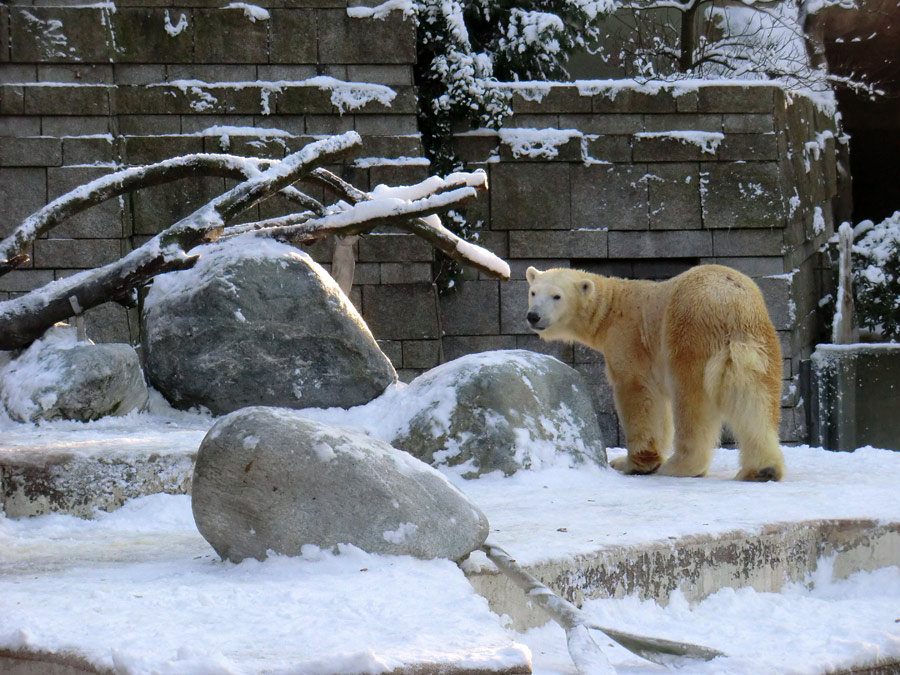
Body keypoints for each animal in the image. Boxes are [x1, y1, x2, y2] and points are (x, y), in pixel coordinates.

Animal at [524, 264, 784, 480]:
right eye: (533, 292)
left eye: (557, 296)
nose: (533, 316)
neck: (611, 307)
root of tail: (730, 303)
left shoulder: (630, 340)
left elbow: (637, 394)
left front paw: (633, 463)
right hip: (758, 343)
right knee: (756, 400)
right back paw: (763, 469)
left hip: (688, 335)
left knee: (692, 402)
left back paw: (680, 466)